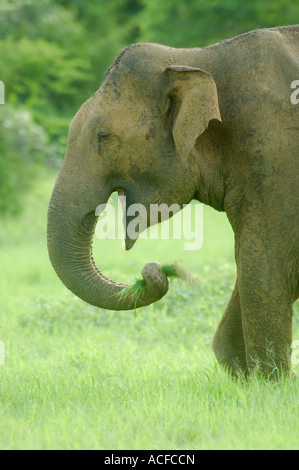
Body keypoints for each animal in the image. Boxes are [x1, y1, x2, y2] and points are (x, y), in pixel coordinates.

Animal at [48, 24, 299, 378]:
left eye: (105, 137)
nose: (158, 270)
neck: (195, 57)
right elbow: (254, 264)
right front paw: (248, 375)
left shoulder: (276, 152)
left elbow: (267, 265)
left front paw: (271, 383)